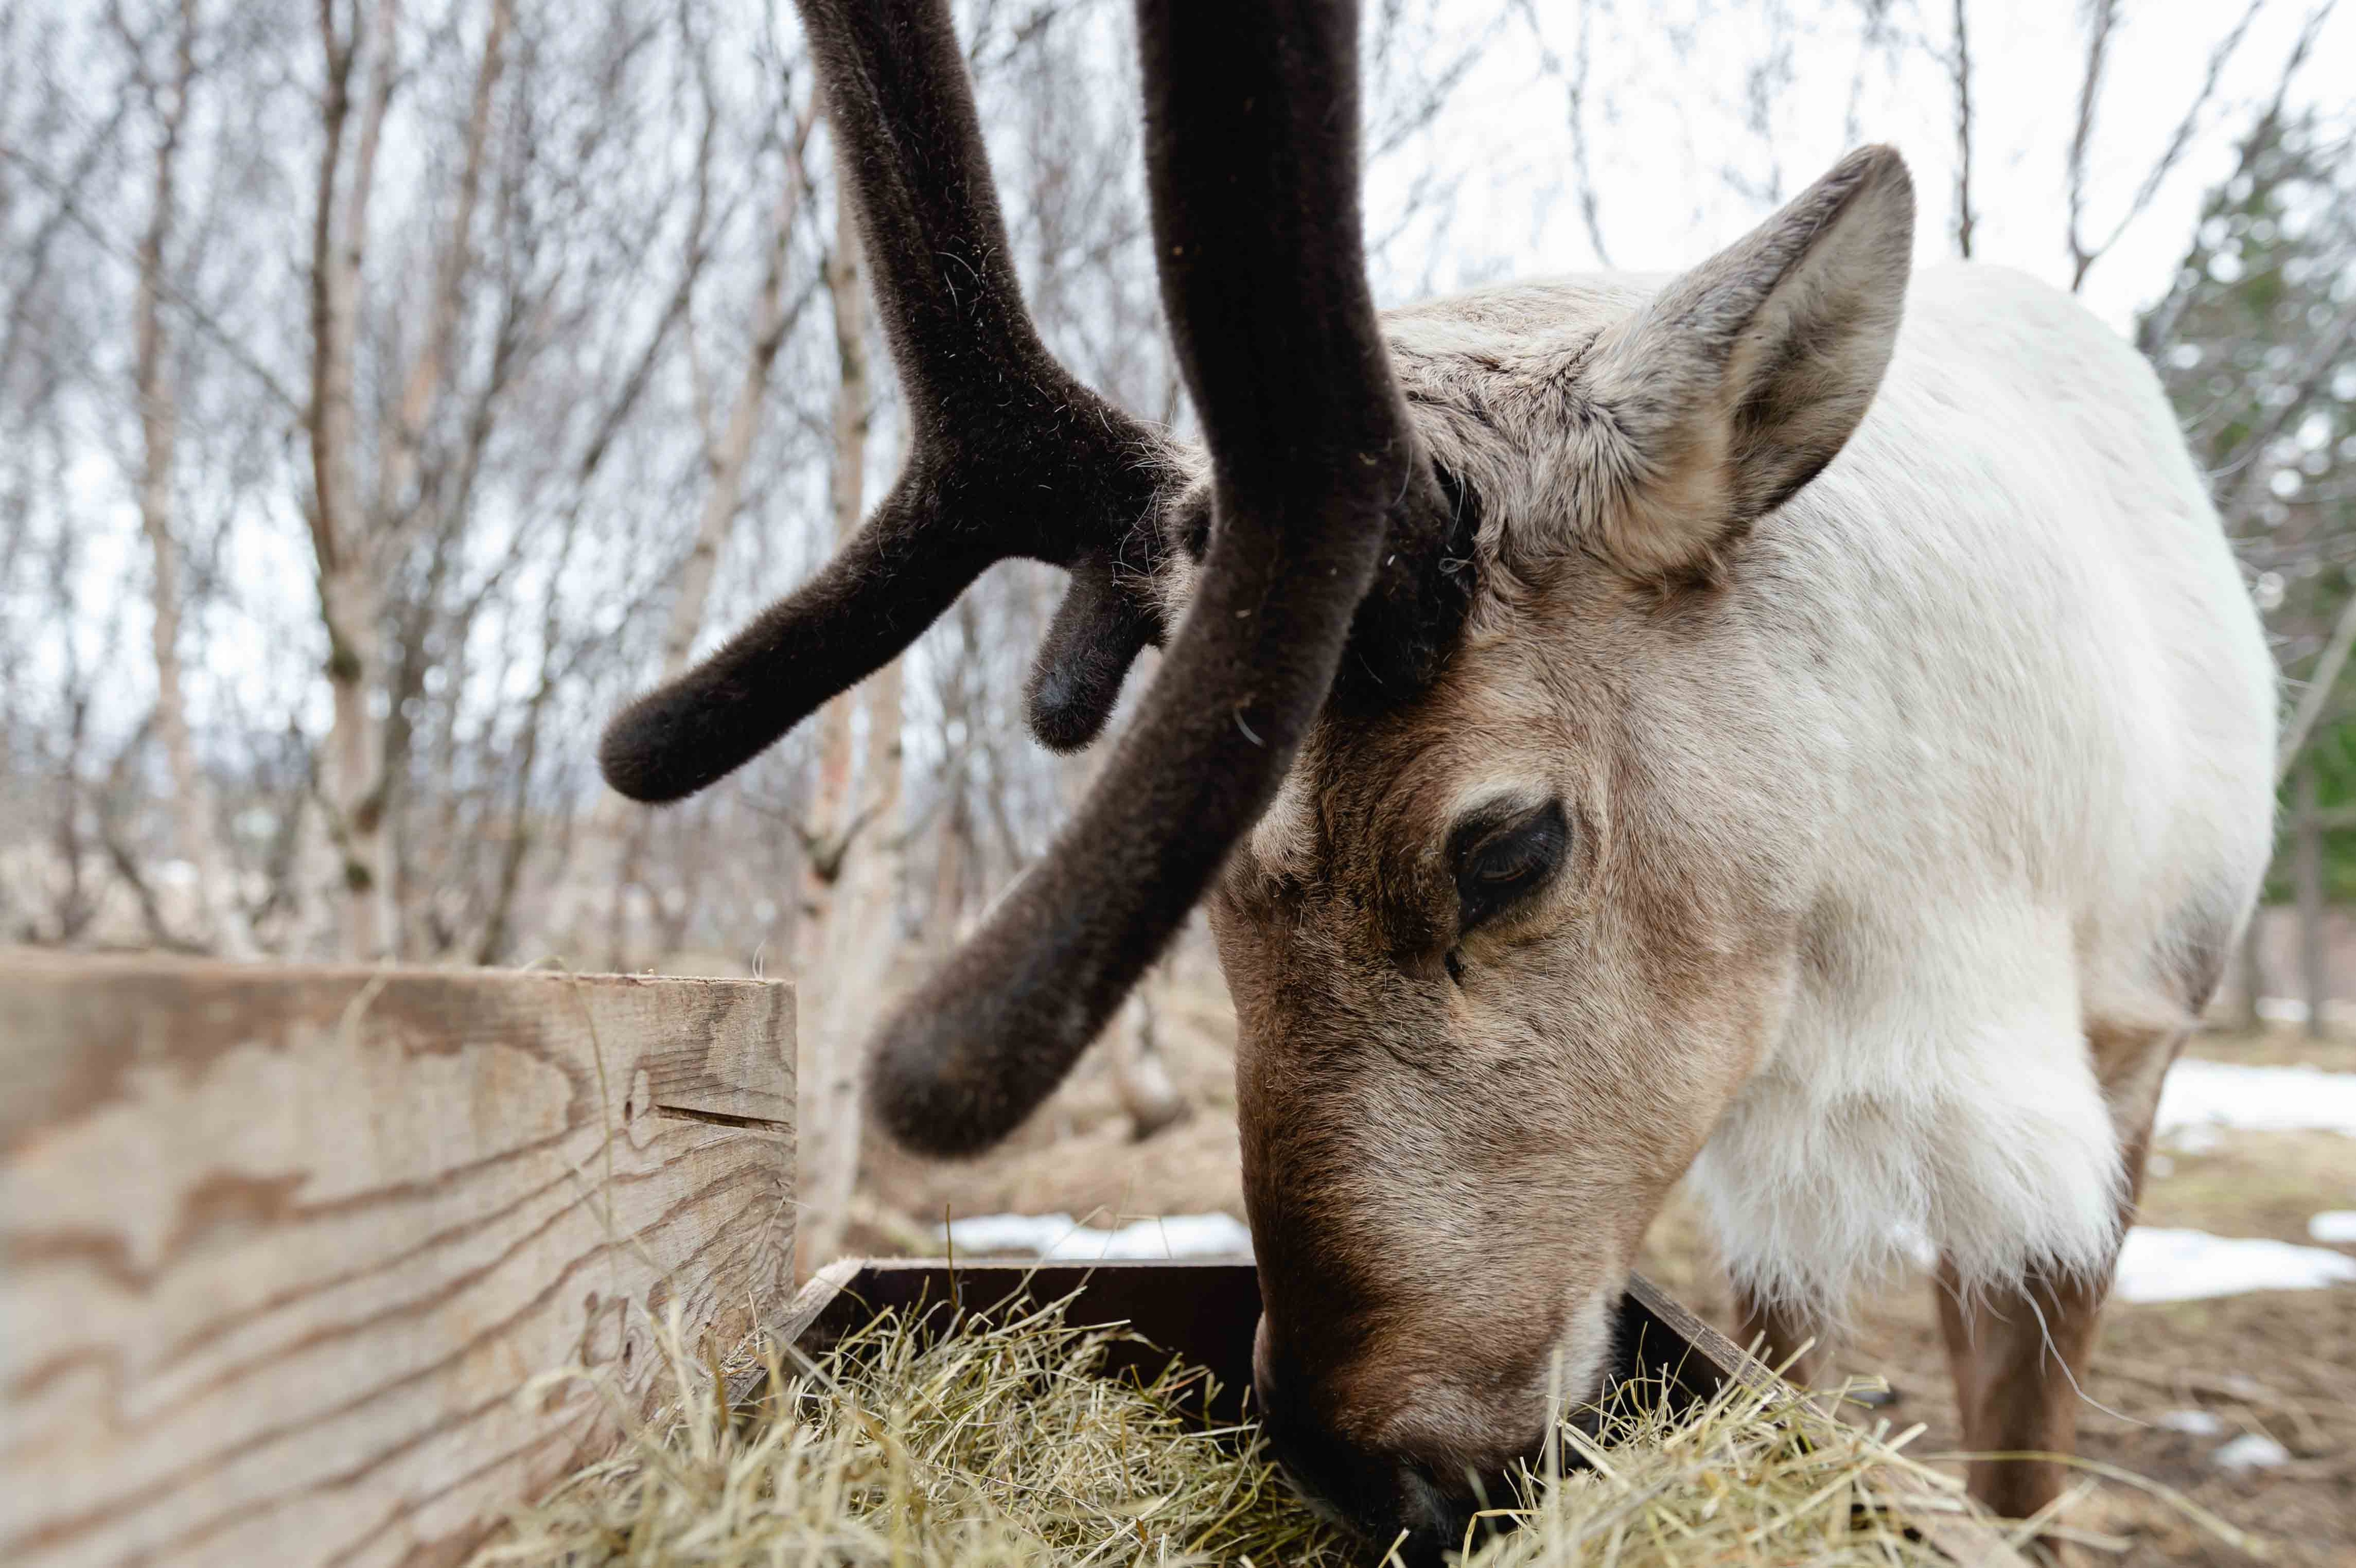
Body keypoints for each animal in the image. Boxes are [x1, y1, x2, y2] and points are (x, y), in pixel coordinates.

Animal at [599, 1, 2277, 1560]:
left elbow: (2022, 1467)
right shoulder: (1764, 1150)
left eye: (1509, 847)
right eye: (1208, 883)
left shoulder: (2135, 1054)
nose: (1352, 1464)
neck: (1954, 899)